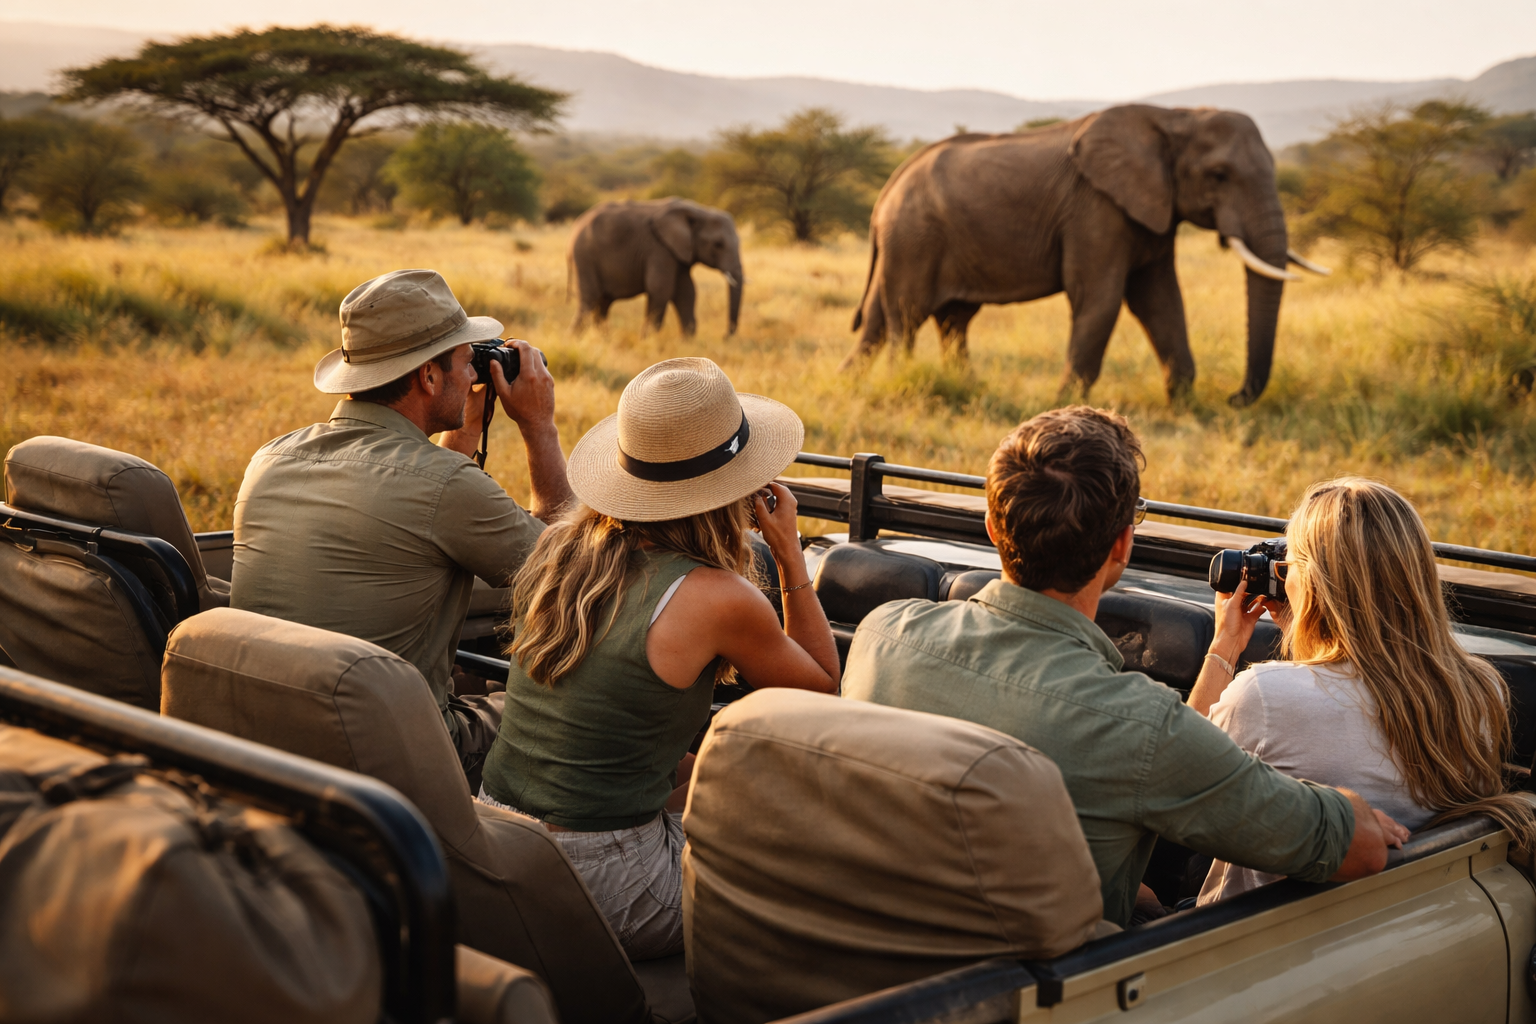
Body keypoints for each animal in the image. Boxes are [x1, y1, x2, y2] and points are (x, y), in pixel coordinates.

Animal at [567, 198, 744, 336]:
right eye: (718, 244)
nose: (725, 336)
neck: (699, 211)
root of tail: (577, 224)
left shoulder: (677, 252)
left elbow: (687, 292)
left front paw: (687, 343)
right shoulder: (659, 249)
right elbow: (660, 288)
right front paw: (647, 340)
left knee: (602, 303)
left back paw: (604, 339)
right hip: (584, 258)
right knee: (590, 299)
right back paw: (575, 338)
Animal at [843, 104, 1329, 406]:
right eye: (1219, 175)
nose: (1233, 397)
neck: (1175, 116)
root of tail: (888, 186)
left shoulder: (1151, 209)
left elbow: (1160, 301)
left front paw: (1186, 407)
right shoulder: (1095, 207)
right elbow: (1100, 298)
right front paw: (1062, 411)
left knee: (934, 319)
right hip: (915, 236)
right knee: (907, 315)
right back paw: (903, 384)